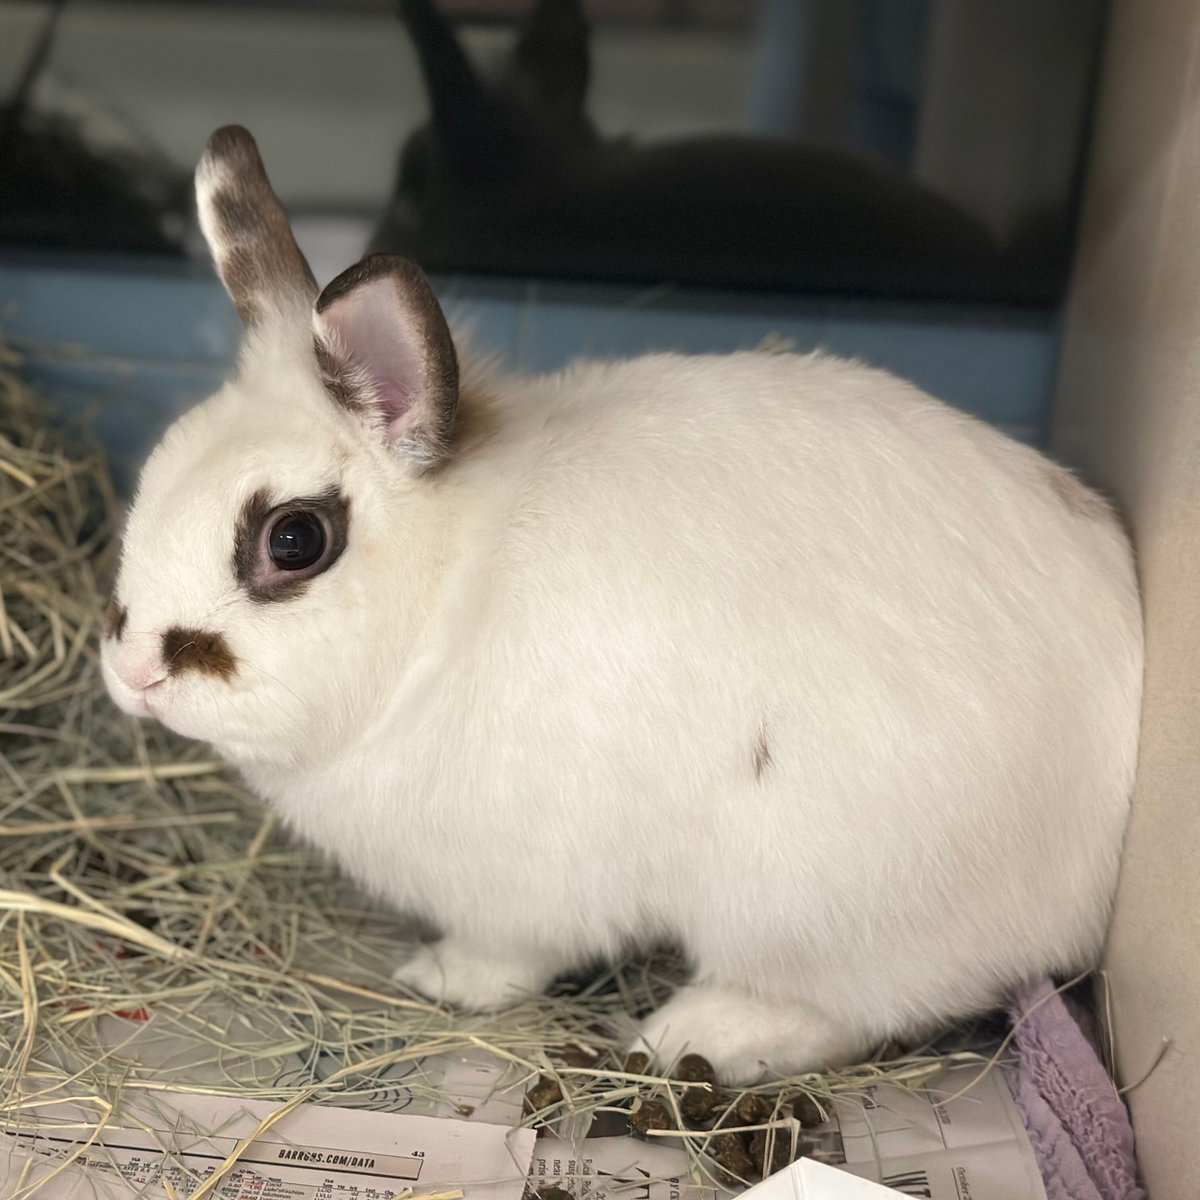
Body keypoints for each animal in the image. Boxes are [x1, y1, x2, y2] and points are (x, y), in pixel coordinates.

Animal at [101, 126, 1143, 1084]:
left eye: (294, 540)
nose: (135, 669)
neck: (447, 604)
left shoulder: (520, 890)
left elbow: (507, 956)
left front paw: (438, 978)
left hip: (819, 908)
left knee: (843, 1010)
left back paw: (690, 1036)